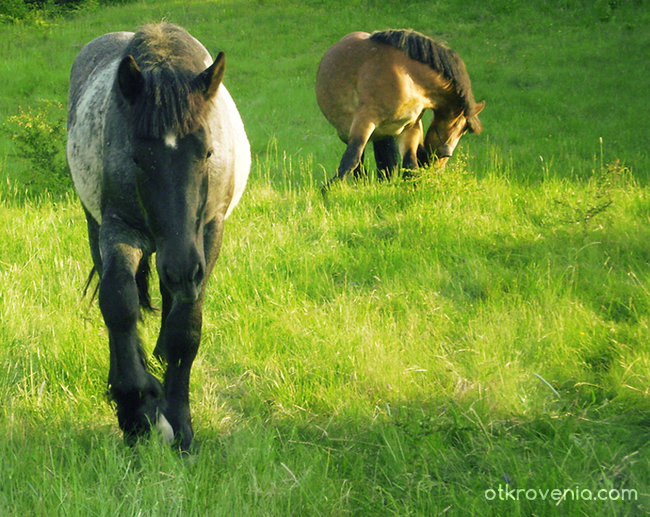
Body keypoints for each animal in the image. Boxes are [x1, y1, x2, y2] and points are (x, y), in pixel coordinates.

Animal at [66, 22, 248, 450]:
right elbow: (119, 302)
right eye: (136, 157)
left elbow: (185, 328)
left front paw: (179, 424)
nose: (181, 267)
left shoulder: (207, 236)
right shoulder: (118, 229)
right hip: (102, 230)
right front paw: (136, 409)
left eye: (208, 152)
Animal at [316, 28, 484, 189]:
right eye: (462, 129)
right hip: (349, 131)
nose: (440, 165)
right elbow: (351, 159)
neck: (408, 79)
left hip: (383, 134)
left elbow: (410, 165)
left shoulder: (410, 128)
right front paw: (328, 191)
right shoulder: (364, 122)